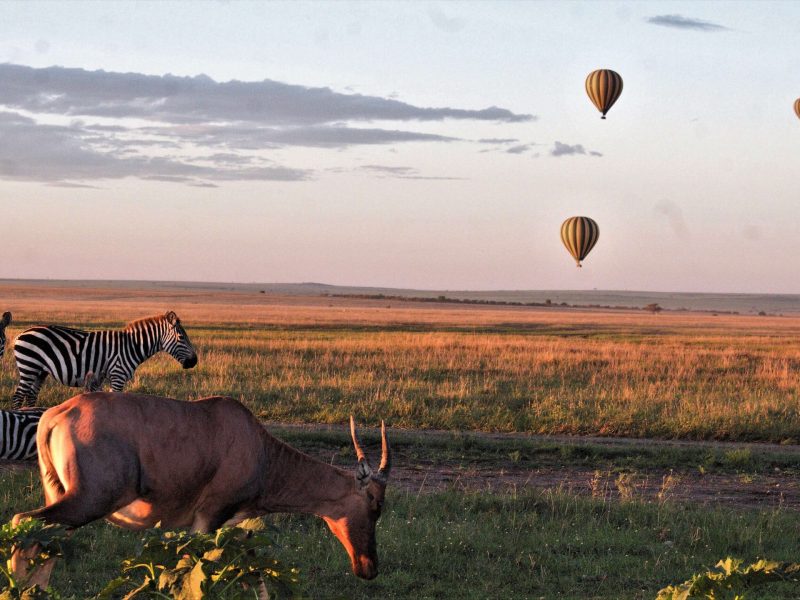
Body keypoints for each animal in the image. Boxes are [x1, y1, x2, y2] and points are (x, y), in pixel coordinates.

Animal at [10, 394, 390, 584]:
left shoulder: (235, 526)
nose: (369, 568)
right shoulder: (208, 519)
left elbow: (253, 571)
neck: (255, 444)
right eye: (375, 504)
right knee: (22, 524)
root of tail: (56, 415)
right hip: (87, 501)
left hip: (61, 497)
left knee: (44, 545)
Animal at [12, 310, 197, 408]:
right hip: (29, 366)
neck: (132, 346)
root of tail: (21, 334)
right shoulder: (118, 375)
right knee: (18, 396)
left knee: (31, 396)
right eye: (181, 337)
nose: (194, 361)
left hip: (40, 371)